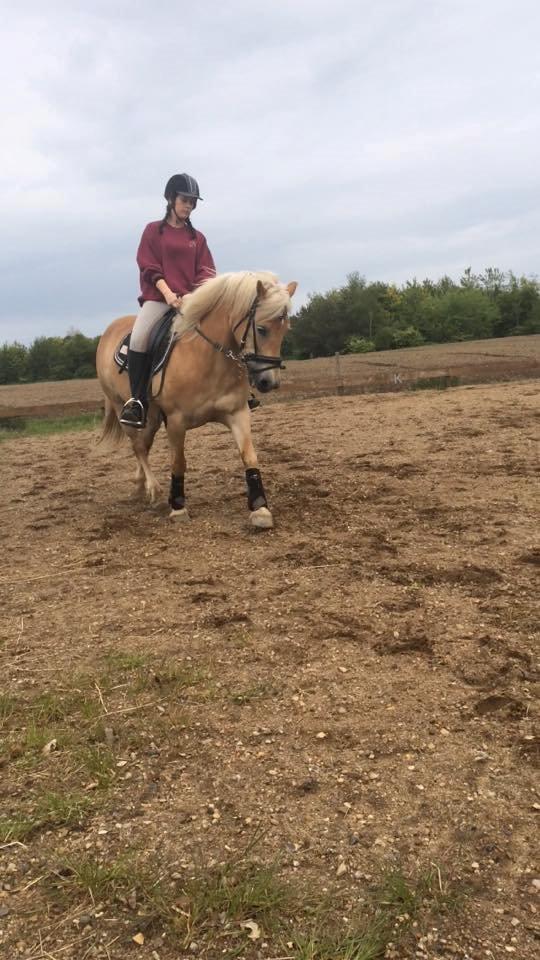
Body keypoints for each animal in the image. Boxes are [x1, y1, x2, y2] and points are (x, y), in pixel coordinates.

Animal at [97, 270, 300, 528]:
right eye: (262, 329)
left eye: (285, 330)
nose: (269, 382)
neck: (208, 357)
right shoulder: (176, 420)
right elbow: (178, 462)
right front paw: (178, 507)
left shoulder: (237, 413)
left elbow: (249, 457)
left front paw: (260, 509)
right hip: (123, 408)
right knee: (138, 446)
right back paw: (153, 488)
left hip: (152, 417)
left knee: (144, 445)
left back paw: (141, 486)